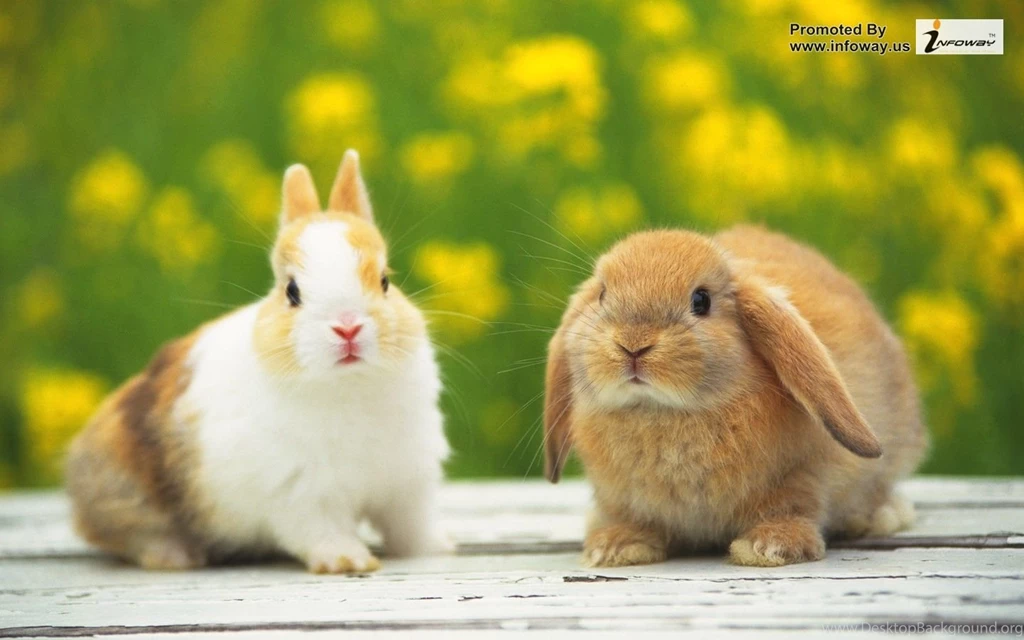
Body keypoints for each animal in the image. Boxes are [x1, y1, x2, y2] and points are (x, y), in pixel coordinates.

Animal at [66, 151, 451, 573]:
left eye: (384, 281)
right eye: (292, 291)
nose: (347, 327)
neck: (348, 385)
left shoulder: (407, 484)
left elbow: (409, 526)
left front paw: (435, 549)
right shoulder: (302, 494)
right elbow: (323, 531)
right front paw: (347, 562)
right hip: (126, 488)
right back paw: (177, 556)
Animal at [543, 225, 927, 567]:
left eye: (701, 301)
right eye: (602, 295)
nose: (633, 344)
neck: (662, 412)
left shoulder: (801, 475)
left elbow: (793, 506)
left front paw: (771, 547)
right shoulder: (622, 498)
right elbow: (631, 518)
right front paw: (616, 547)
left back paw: (879, 517)